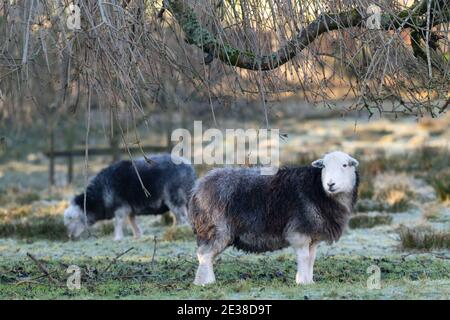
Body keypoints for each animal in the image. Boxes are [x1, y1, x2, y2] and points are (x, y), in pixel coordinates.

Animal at [63, 154, 195, 240]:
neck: (99, 196)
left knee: (182, 218)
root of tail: (189, 168)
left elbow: (118, 222)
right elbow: (132, 221)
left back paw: (179, 232)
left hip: (175, 198)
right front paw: (137, 235)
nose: (69, 236)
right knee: (178, 218)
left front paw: (117, 238)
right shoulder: (130, 208)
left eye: (71, 218)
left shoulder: (120, 208)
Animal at [188, 151, 360, 286]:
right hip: (215, 227)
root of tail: (198, 187)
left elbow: (311, 258)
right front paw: (302, 282)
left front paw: (309, 282)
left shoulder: (313, 235)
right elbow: (304, 257)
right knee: (204, 255)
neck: (318, 190)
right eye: (323, 166)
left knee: (206, 255)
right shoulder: (300, 232)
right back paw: (205, 282)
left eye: (345, 165)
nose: (330, 184)